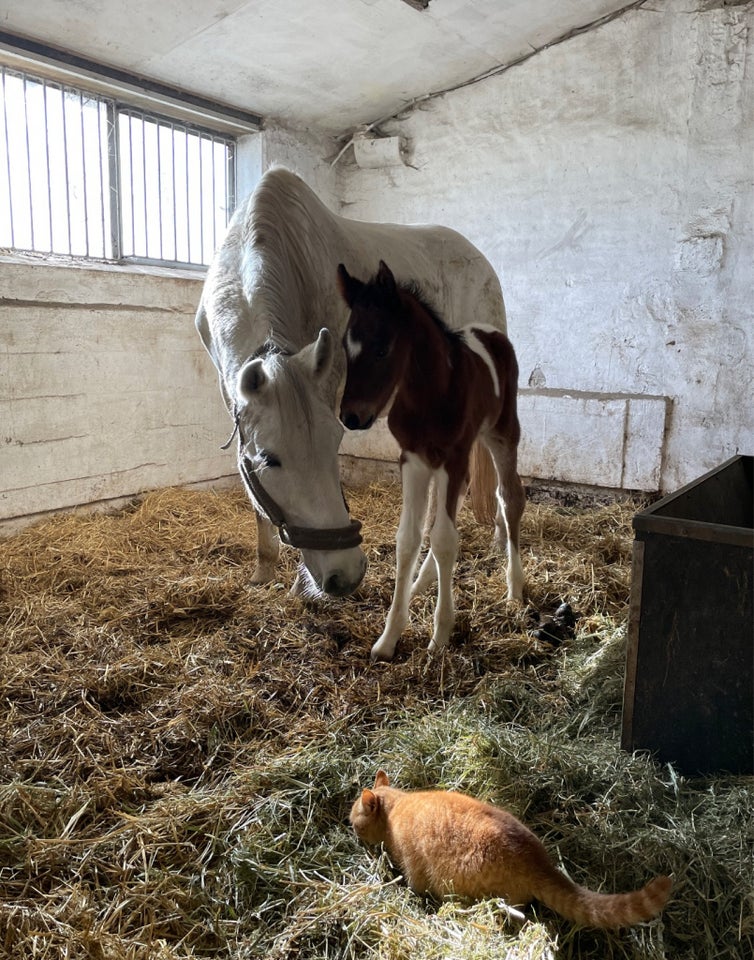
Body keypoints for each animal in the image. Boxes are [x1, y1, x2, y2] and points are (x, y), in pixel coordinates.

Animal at [197, 169, 508, 596]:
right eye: (270, 459)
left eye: (335, 443)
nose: (344, 575)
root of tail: (482, 261)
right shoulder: (231, 393)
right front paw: (263, 571)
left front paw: (299, 585)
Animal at [336, 264, 524, 668]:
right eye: (346, 347)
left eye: (382, 348)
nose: (351, 417)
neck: (430, 393)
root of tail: (491, 331)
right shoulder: (414, 459)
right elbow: (410, 538)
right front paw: (389, 636)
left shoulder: (452, 457)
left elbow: (444, 539)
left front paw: (440, 635)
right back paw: (420, 584)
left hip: (502, 433)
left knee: (510, 497)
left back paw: (515, 587)